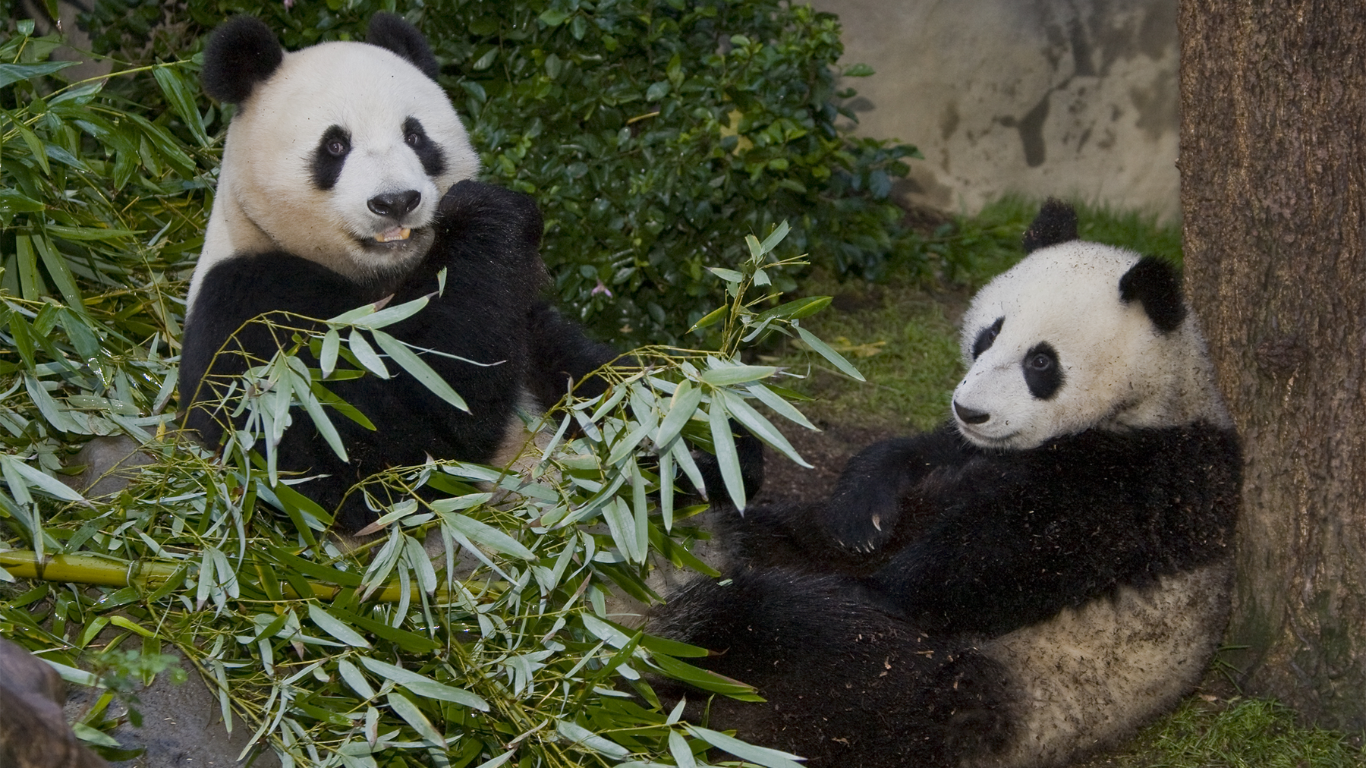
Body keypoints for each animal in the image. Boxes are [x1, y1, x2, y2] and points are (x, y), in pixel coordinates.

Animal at [178, 16, 611, 532]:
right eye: (335, 145)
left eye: (415, 136)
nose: (395, 201)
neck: (382, 276)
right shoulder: (250, 307)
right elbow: (359, 455)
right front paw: (488, 212)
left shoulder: (524, 318)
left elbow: (588, 378)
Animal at [647, 198, 1240, 765]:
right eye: (989, 334)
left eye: (1041, 362)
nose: (969, 410)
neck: (1154, 399)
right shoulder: (967, 449)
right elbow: (910, 459)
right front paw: (859, 518)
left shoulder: (1151, 474)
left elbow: (1000, 555)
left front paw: (878, 586)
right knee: (769, 537)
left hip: (950, 690)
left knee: (803, 639)